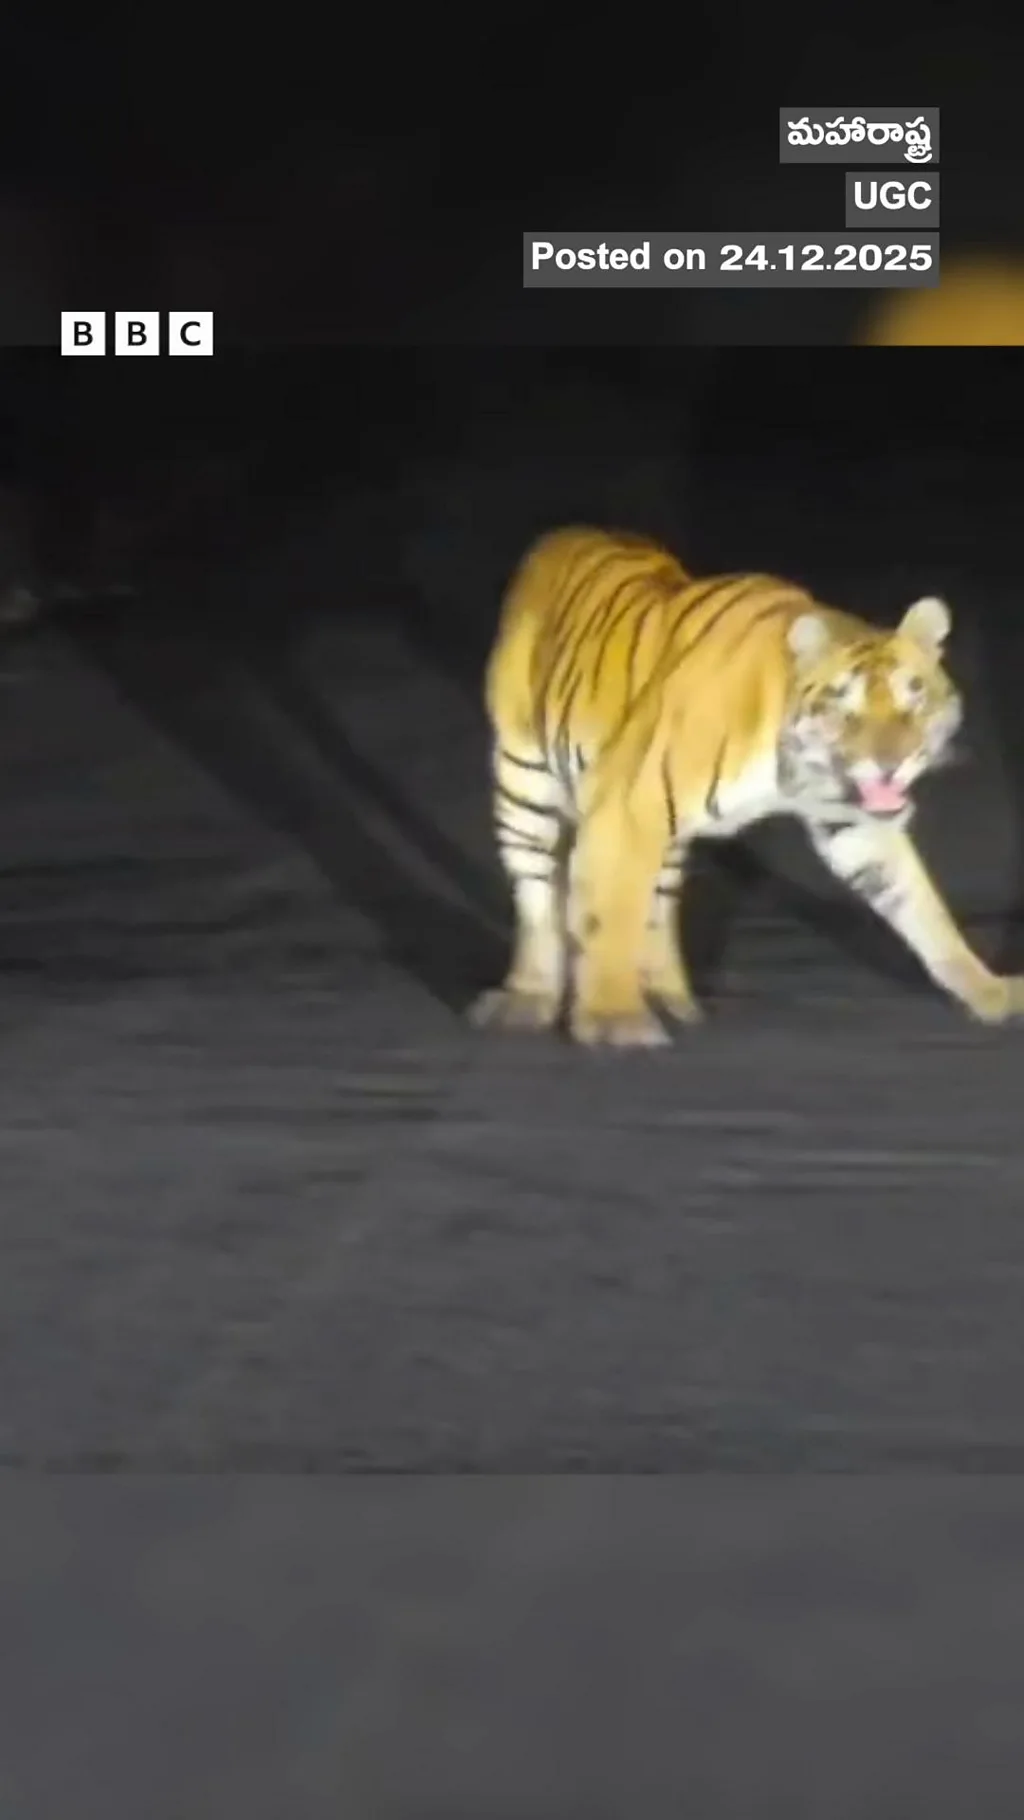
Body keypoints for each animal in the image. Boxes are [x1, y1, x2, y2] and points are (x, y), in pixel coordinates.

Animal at [470, 524, 1024, 1047]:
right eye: (846, 709)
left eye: (915, 698)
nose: (892, 765)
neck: (794, 765)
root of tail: (557, 536)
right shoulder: (625, 807)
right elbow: (610, 915)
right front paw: (614, 1020)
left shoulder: (854, 823)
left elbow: (923, 909)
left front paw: (991, 993)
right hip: (524, 780)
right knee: (538, 892)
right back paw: (530, 999)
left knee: (657, 905)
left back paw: (673, 1000)